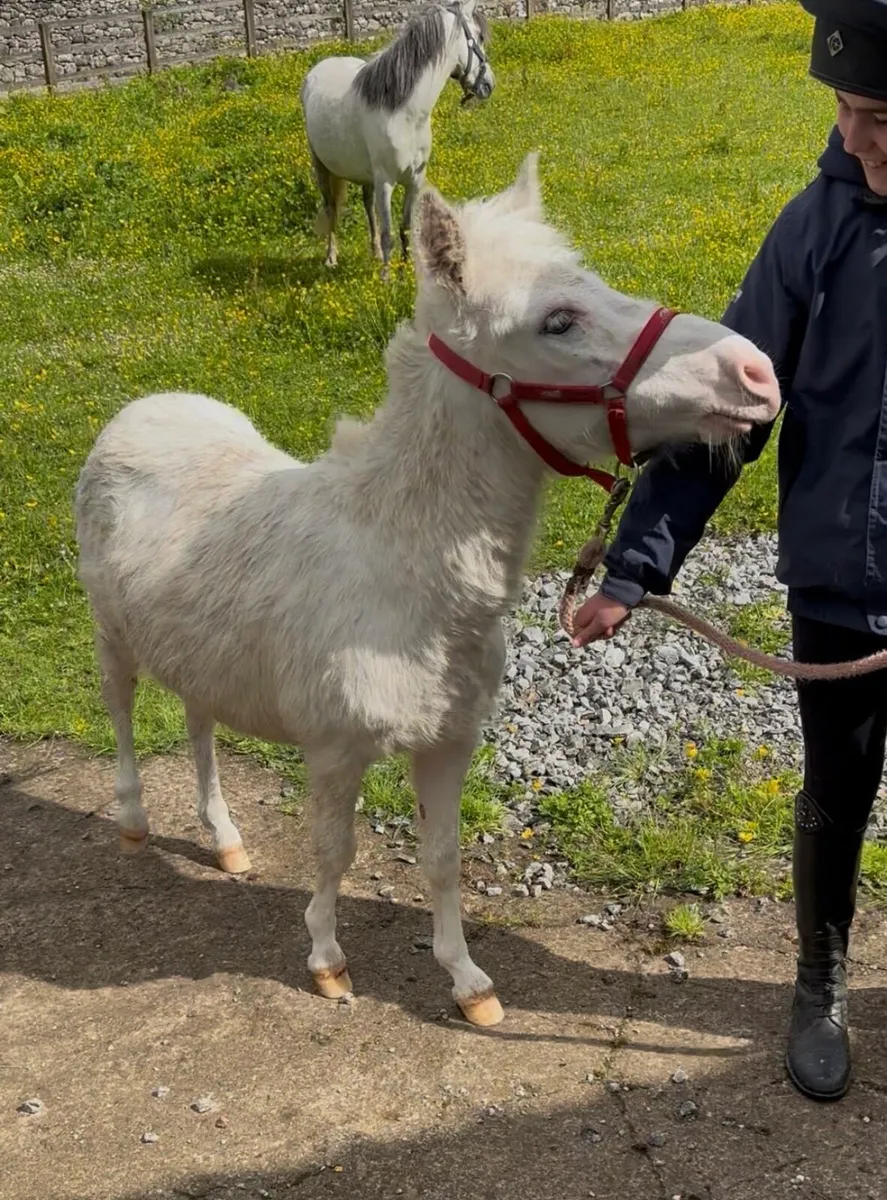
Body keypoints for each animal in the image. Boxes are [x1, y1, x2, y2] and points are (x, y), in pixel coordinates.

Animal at [300, 0, 493, 278]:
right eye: (478, 36)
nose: (488, 84)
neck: (404, 114)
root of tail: (319, 68)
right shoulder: (386, 182)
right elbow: (388, 233)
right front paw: (386, 278)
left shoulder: (414, 180)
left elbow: (405, 228)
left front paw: (406, 271)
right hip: (322, 167)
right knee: (331, 208)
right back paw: (331, 257)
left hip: (365, 176)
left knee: (367, 205)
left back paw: (373, 254)